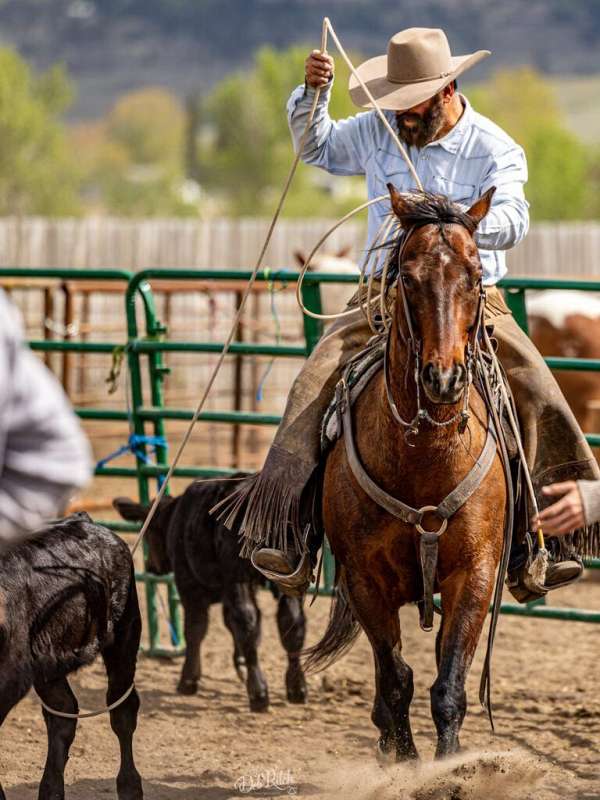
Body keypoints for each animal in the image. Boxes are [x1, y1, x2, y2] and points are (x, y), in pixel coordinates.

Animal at [0, 512, 142, 800]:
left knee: (122, 708)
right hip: (48, 664)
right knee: (63, 712)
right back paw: (51, 790)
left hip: (125, 634)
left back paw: (130, 787)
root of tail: (83, 521)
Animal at [113, 476, 308, 712]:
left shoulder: (189, 584)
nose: (151, 566)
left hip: (237, 576)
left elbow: (195, 629)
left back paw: (258, 692)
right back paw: (296, 687)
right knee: (292, 621)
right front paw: (239, 663)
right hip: (284, 576)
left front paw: (188, 680)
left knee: (247, 620)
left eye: (148, 531)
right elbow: (230, 623)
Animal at [312, 184, 508, 760]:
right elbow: (396, 678)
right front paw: (404, 757)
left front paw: (448, 763)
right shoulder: (364, 580)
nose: (443, 378)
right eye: (408, 276)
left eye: (475, 276)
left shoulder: (476, 574)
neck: (425, 457)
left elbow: (449, 683)